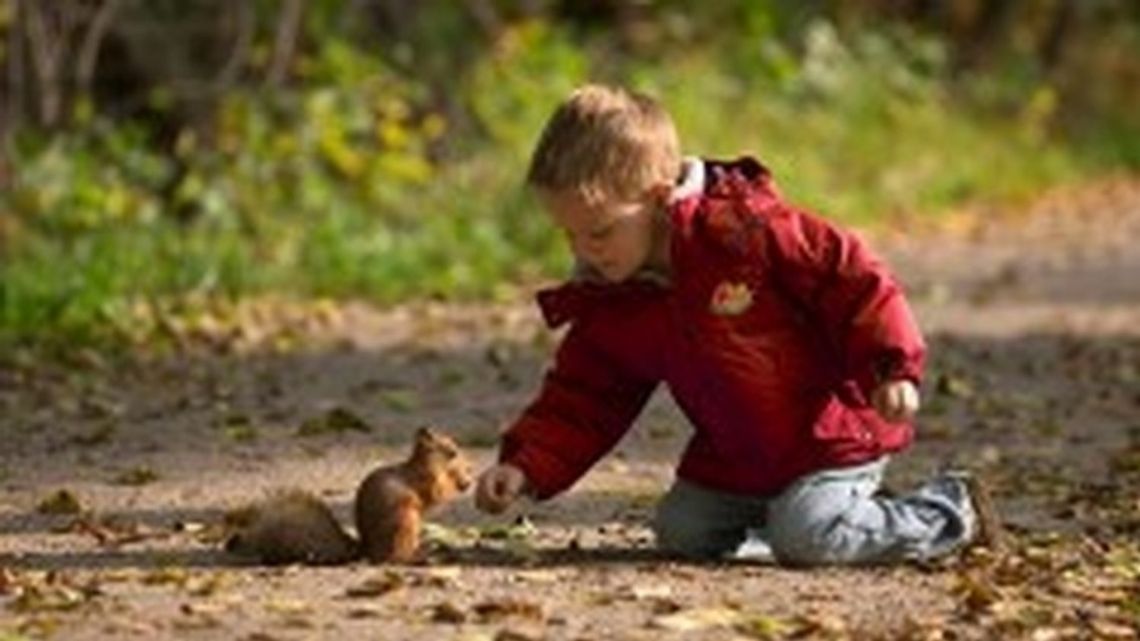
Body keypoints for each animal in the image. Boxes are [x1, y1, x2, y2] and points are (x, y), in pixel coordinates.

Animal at [224, 426, 474, 561]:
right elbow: (436, 494)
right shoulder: (425, 480)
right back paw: (422, 556)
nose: (469, 468)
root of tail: (367, 550)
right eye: (452, 452)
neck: (426, 464)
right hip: (406, 522)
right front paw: (462, 483)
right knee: (393, 559)